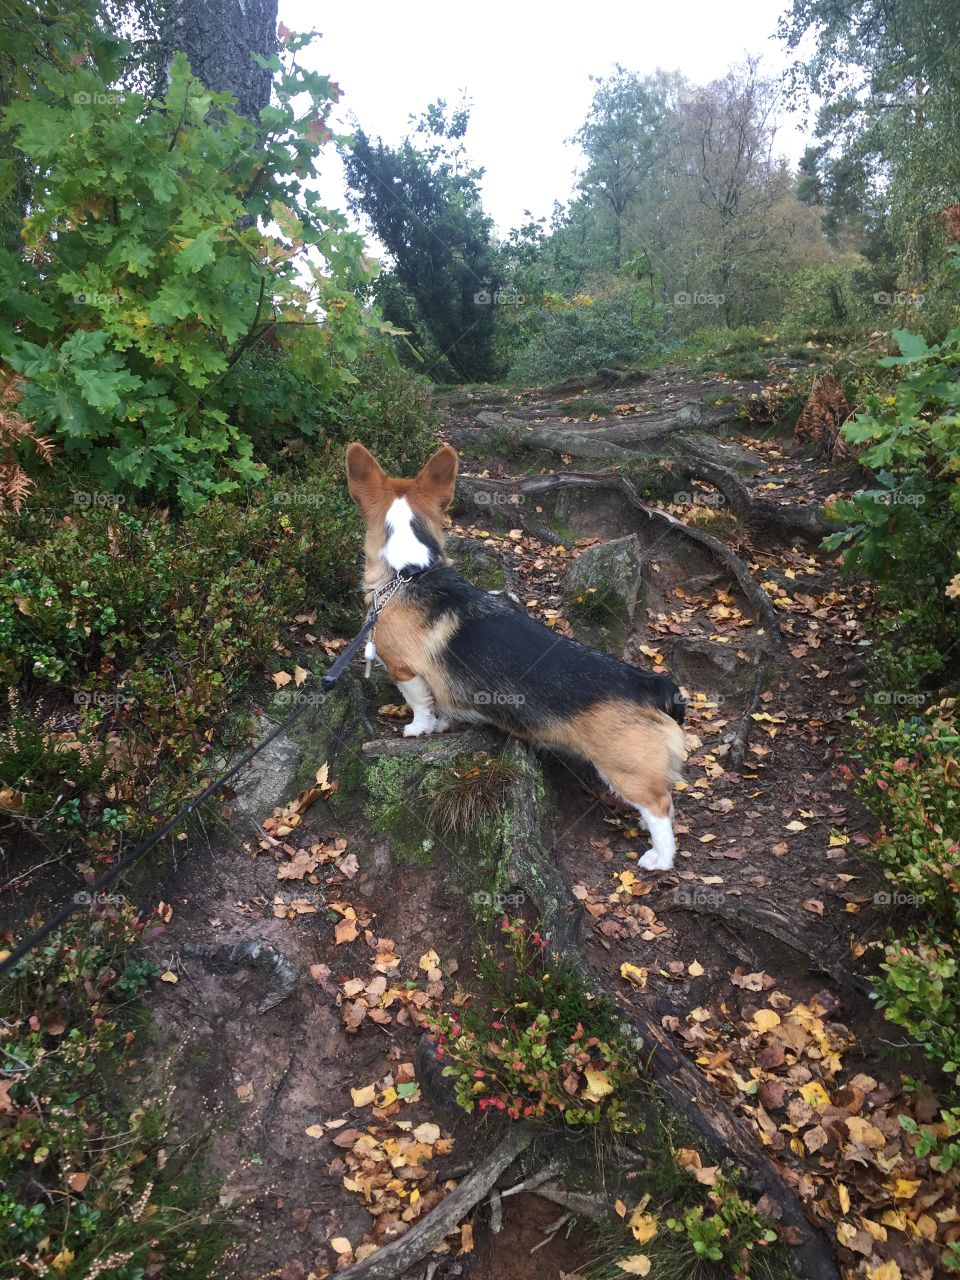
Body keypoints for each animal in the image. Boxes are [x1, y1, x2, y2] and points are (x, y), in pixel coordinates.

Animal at [343, 440, 686, 870]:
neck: (411, 570)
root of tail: (648, 683)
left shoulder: (404, 669)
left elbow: (420, 705)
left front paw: (418, 729)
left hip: (625, 769)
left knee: (660, 808)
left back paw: (658, 858)